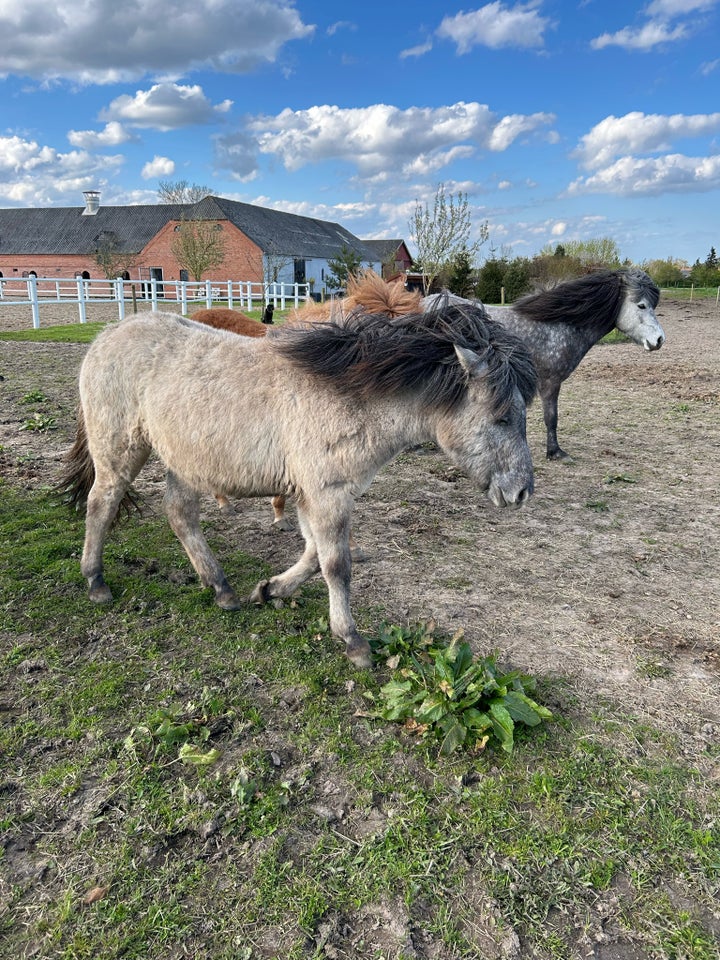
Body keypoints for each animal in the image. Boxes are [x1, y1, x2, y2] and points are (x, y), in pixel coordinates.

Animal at [56, 304, 536, 672]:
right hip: (121, 452)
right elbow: (336, 565)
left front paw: (270, 590)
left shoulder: (313, 495)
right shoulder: (326, 494)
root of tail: (106, 336)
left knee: (179, 514)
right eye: (501, 417)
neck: (349, 396)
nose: (522, 492)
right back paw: (96, 580)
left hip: (186, 462)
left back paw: (222, 588)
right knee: (102, 504)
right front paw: (353, 642)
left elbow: (312, 555)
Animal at [422, 268, 664, 464]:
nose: (660, 339)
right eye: (641, 305)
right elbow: (551, 418)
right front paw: (555, 452)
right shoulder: (550, 383)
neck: (554, 326)